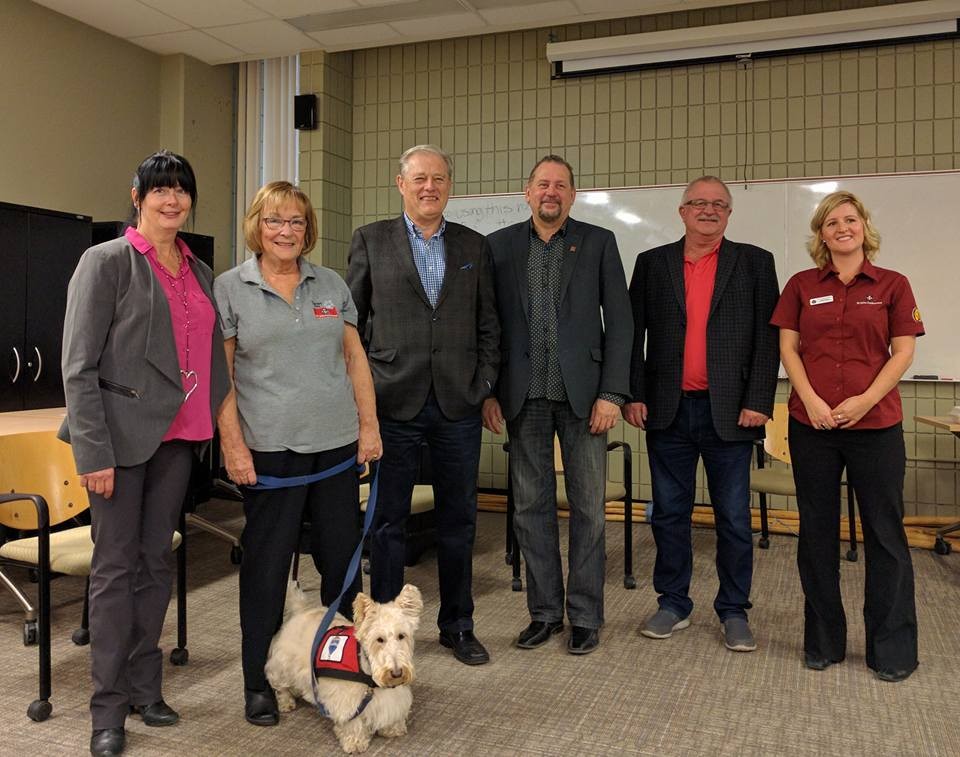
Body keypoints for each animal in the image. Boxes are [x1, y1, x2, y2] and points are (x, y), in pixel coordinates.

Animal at [266, 584, 424, 752]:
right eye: (379, 639)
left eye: (402, 636)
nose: (396, 673)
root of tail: (302, 609)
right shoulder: (348, 701)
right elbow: (352, 723)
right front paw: (355, 742)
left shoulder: (393, 697)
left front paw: (393, 729)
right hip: (282, 665)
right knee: (280, 686)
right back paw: (286, 702)